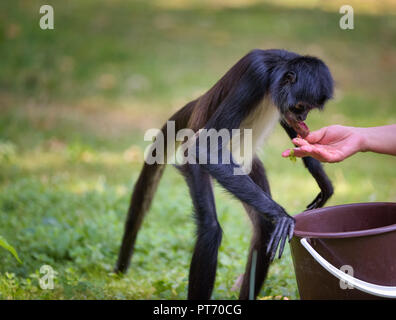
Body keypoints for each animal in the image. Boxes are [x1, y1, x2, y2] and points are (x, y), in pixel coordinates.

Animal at [114, 48, 334, 298]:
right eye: (299, 107)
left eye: (307, 109)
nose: (303, 118)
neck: (274, 70)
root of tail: (198, 103)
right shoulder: (255, 76)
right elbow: (204, 148)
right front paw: (281, 215)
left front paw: (320, 177)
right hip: (197, 164)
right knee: (210, 229)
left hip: (244, 166)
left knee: (263, 228)